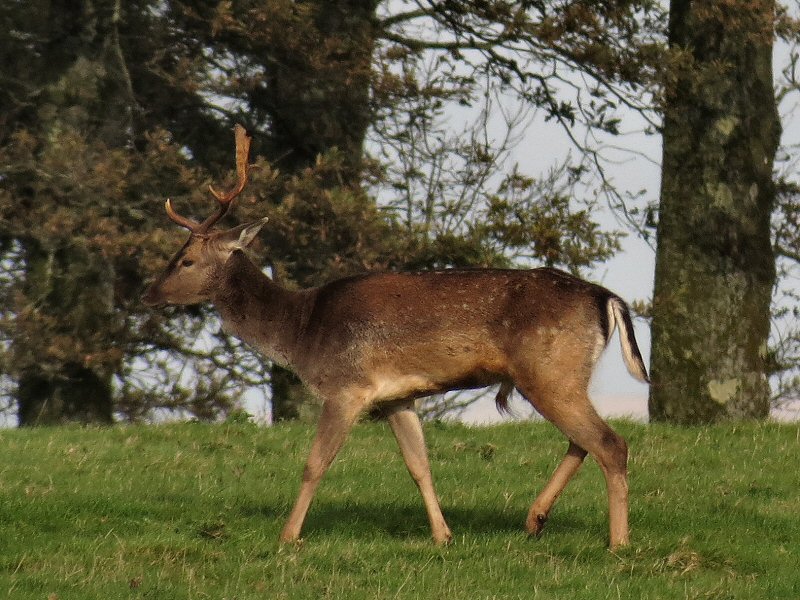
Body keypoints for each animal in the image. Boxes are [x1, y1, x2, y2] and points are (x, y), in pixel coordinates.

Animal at [141, 124, 648, 552]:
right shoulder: (397, 396)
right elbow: (419, 466)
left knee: (610, 443)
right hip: (561, 374)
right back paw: (535, 519)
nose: (148, 294)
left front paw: (288, 537)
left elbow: (314, 464)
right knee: (583, 441)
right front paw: (443, 536)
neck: (302, 331)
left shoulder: (347, 386)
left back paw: (618, 542)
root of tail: (607, 297)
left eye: (185, 260)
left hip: (549, 370)